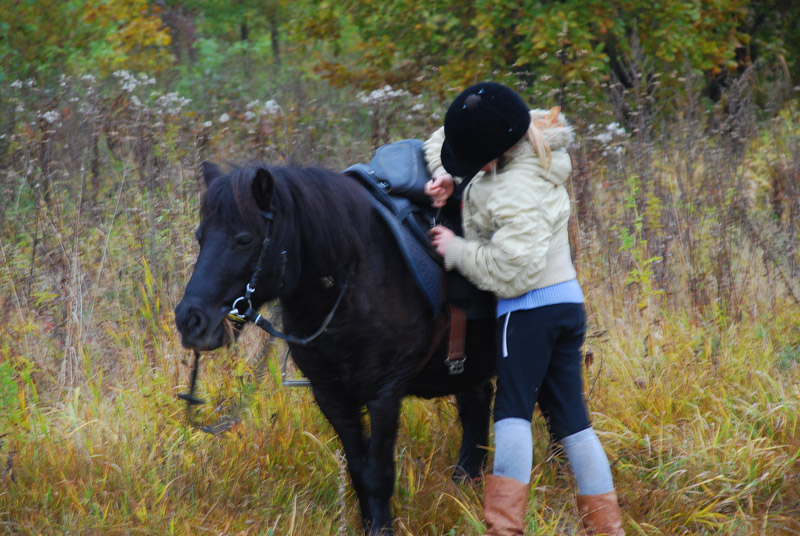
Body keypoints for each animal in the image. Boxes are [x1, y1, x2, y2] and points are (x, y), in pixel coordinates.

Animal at [175, 161, 494, 532]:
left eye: (244, 240)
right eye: (201, 237)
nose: (190, 321)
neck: (354, 280)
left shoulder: (384, 393)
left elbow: (377, 474)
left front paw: (381, 530)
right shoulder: (331, 395)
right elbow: (358, 471)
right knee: (476, 405)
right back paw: (465, 484)